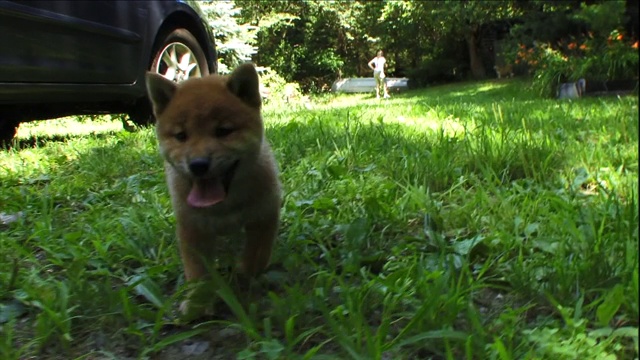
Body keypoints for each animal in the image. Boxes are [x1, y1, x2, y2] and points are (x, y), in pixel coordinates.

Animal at [148, 63, 282, 316]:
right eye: (181, 136)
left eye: (223, 131)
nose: (198, 164)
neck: (223, 206)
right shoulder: (193, 230)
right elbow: (198, 273)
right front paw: (198, 303)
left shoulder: (263, 217)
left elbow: (255, 257)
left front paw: (247, 278)